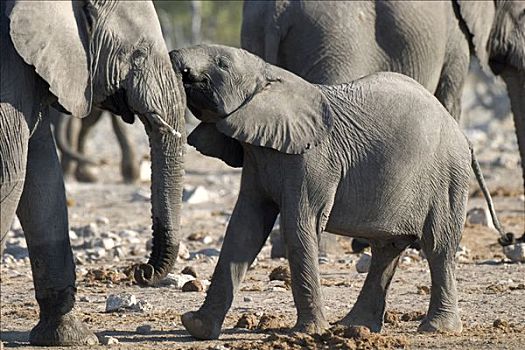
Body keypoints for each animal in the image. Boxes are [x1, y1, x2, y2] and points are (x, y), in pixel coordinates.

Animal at [171, 43, 504, 340]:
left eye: (222, 63)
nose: (176, 61)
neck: (269, 74)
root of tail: (464, 136)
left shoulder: (312, 158)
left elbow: (299, 227)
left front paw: (307, 333)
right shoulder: (258, 157)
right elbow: (244, 229)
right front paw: (196, 327)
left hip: (447, 178)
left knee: (438, 246)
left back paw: (435, 329)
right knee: (386, 249)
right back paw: (354, 326)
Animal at [242, 0, 524, 252]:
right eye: (521, 14)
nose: (509, 238)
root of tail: (276, 11)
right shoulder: (455, 38)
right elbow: (448, 99)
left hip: (258, 37)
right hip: (334, 42)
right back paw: (324, 249)